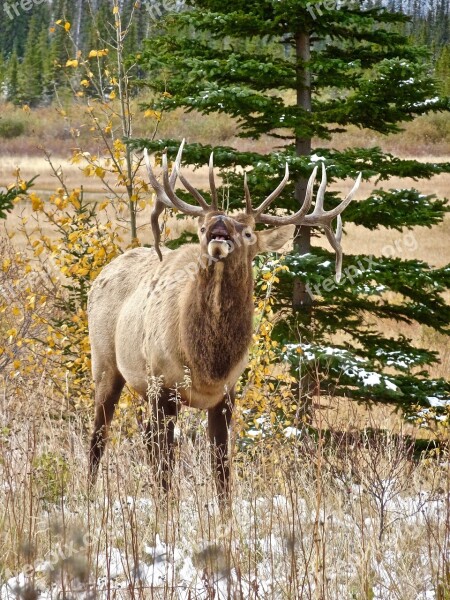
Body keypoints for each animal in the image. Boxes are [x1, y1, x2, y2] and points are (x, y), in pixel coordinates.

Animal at [89, 139, 362, 496]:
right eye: (202, 227)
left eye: (248, 233)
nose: (219, 227)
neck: (208, 364)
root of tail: (103, 271)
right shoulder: (162, 385)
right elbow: (166, 466)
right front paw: (165, 507)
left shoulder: (226, 394)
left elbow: (221, 470)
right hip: (105, 362)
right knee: (99, 436)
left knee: (143, 438)